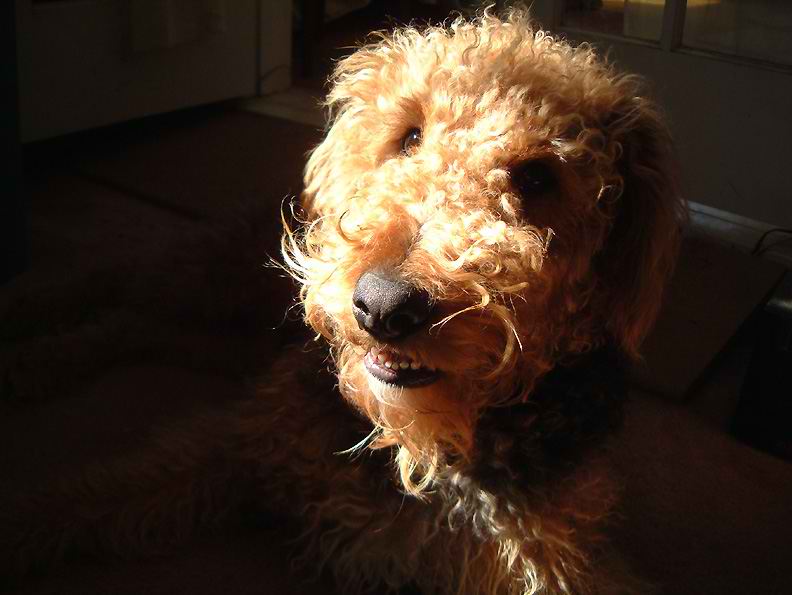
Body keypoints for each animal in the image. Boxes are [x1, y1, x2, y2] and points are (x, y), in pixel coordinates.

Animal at [2, 10, 685, 595]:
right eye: (409, 135)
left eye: (540, 176)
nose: (383, 307)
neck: (419, 455)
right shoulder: (243, 444)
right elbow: (95, 491)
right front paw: (22, 524)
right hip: (213, 278)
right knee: (113, 283)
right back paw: (26, 332)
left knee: (133, 324)